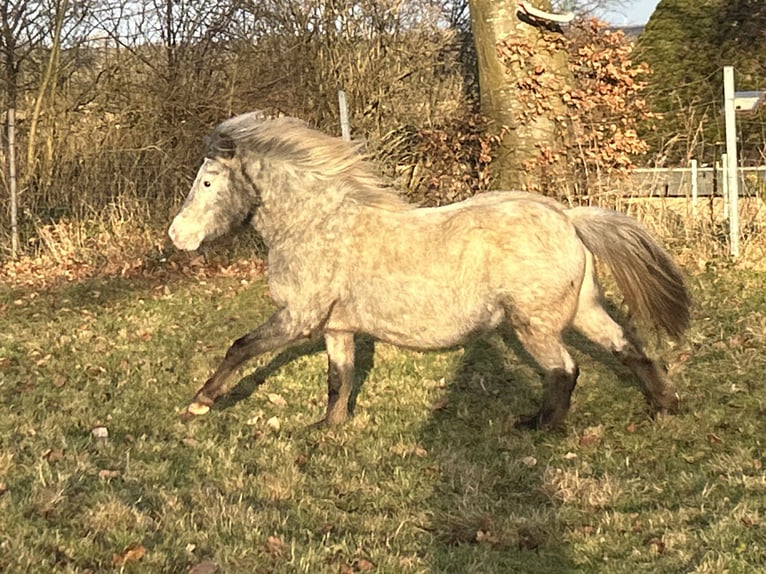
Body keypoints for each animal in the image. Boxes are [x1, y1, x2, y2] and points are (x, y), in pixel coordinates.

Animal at [166, 112, 688, 430]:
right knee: (628, 349)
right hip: (583, 310)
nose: (177, 236)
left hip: (534, 325)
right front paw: (329, 426)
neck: (316, 223)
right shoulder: (336, 328)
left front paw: (198, 403)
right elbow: (339, 377)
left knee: (565, 370)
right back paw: (664, 406)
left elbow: (240, 347)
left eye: (208, 182)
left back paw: (538, 426)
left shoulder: (297, 319)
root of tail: (567, 217)